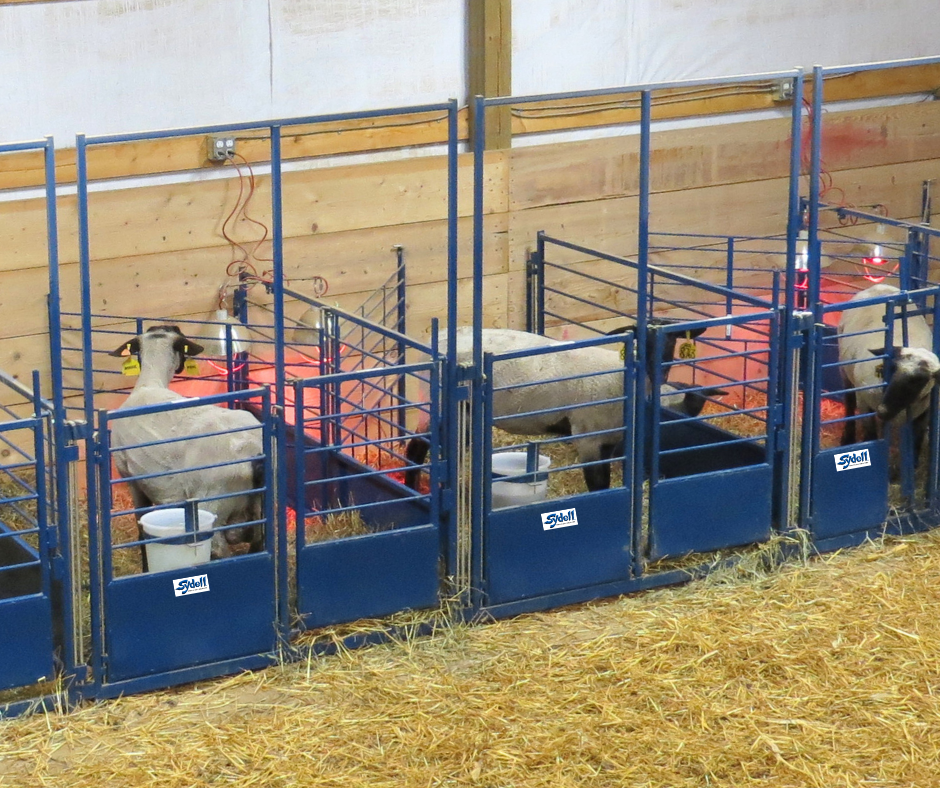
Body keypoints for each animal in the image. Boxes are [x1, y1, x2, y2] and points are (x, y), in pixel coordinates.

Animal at [109, 325, 265, 570]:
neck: (149, 384)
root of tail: (253, 452)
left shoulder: (131, 478)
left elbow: (141, 530)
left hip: (212, 504)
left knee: (220, 551)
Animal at [404, 321, 708, 492]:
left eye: (671, 339)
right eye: (639, 339)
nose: (657, 367)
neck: (622, 374)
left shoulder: (610, 438)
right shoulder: (587, 437)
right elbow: (597, 483)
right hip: (445, 409)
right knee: (416, 448)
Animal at [838, 284, 940, 459]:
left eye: (919, 380)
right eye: (890, 368)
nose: (882, 412)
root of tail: (879, 285)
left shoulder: (923, 415)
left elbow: (916, 446)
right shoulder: (865, 404)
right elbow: (870, 436)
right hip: (845, 372)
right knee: (850, 403)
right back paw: (848, 438)